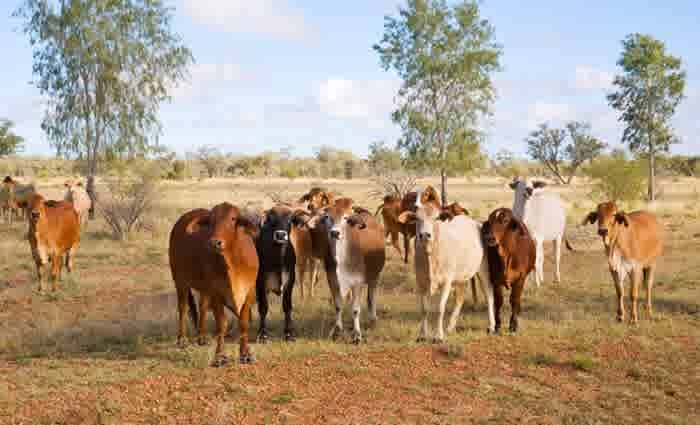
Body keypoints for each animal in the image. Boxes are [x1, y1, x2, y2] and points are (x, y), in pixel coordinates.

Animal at [169, 203, 259, 366]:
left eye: (233, 218)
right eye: (210, 221)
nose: (214, 243)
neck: (233, 263)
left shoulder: (249, 291)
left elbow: (243, 323)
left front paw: (246, 354)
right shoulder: (217, 293)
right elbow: (221, 324)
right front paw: (220, 356)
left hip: (204, 288)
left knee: (202, 307)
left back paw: (202, 337)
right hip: (179, 280)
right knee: (183, 307)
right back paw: (182, 340)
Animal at [255, 204, 305, 343]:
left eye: (290, 219)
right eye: (271, 219)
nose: (281, 235)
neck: (278, 260)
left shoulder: (290, 281)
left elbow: (287, 307)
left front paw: (289, 334)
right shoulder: (261, 282)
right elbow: (263, 307)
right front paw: (262, 335)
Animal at [305, 197, 385, 343]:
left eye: (346, 218)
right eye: (327, 217)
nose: (335, 233)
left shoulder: (357, 282)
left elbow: (355, 309)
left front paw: (357, 335)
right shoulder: (333, 281)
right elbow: (338, 306)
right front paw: (337, 330)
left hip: (375, 276)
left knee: (371, 297)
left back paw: (373, 319)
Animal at [398, 186, 495, 341]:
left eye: (436, 218)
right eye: (417, 218)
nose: (424, 235)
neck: (431, 255)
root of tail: (477, 224)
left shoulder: (446, 282)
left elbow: (440, 308)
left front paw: (438, 336)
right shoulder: (421, 283)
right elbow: (424, 309)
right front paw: (422, 335)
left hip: (483, 270)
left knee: (489, 295)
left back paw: (491, 327)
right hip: (461, 278)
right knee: (460, 299)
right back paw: (450, 327)